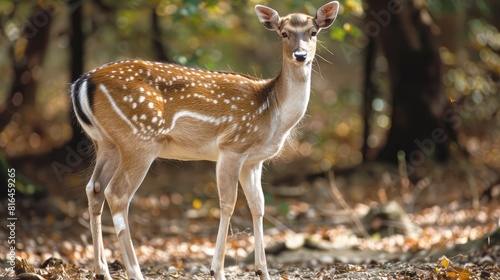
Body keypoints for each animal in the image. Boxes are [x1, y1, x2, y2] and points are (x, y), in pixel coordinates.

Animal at [71, 2, 340, 280]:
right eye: (284, 33)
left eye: (313, 32)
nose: (300, 55)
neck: (272, 112)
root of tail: (82, 82)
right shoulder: (232, 146)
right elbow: (228, 203)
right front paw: (216, 270)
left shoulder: (253, 161)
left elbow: (258, 205)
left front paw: (262, 271)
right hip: (139, 140)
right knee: (117, 194)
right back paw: (135, 271)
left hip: (107, 143)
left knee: (94, 189)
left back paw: (102, 271)